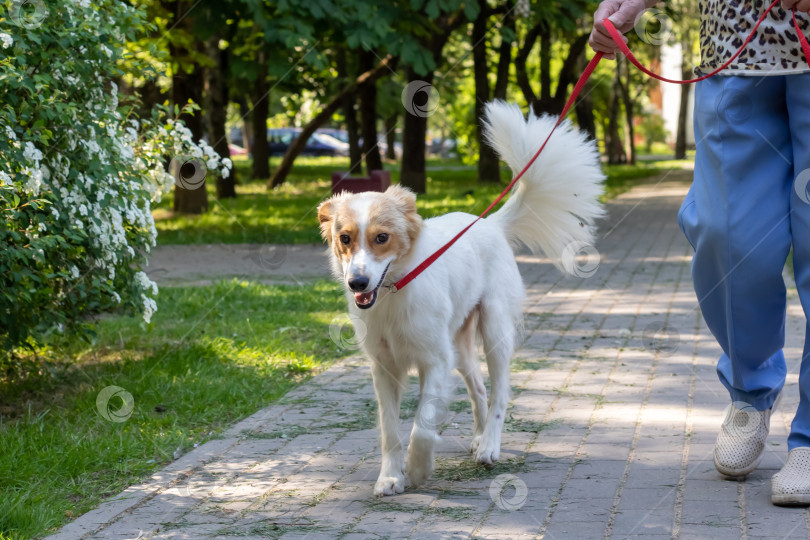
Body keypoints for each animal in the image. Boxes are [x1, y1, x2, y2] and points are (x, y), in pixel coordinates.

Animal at [316, 99, 600, 496]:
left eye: (382, 238)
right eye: (345, 238)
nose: (357, 282)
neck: (395, 293)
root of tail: (488, 223)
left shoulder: (434, 360)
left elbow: (422, 426)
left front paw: (418, 469)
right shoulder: (384, 367)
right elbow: (390, 431)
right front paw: (390, 476)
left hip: (494, 332)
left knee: (498, 395)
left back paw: (490, 446)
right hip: (461, 347)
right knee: (478, 391)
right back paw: (479, 439)